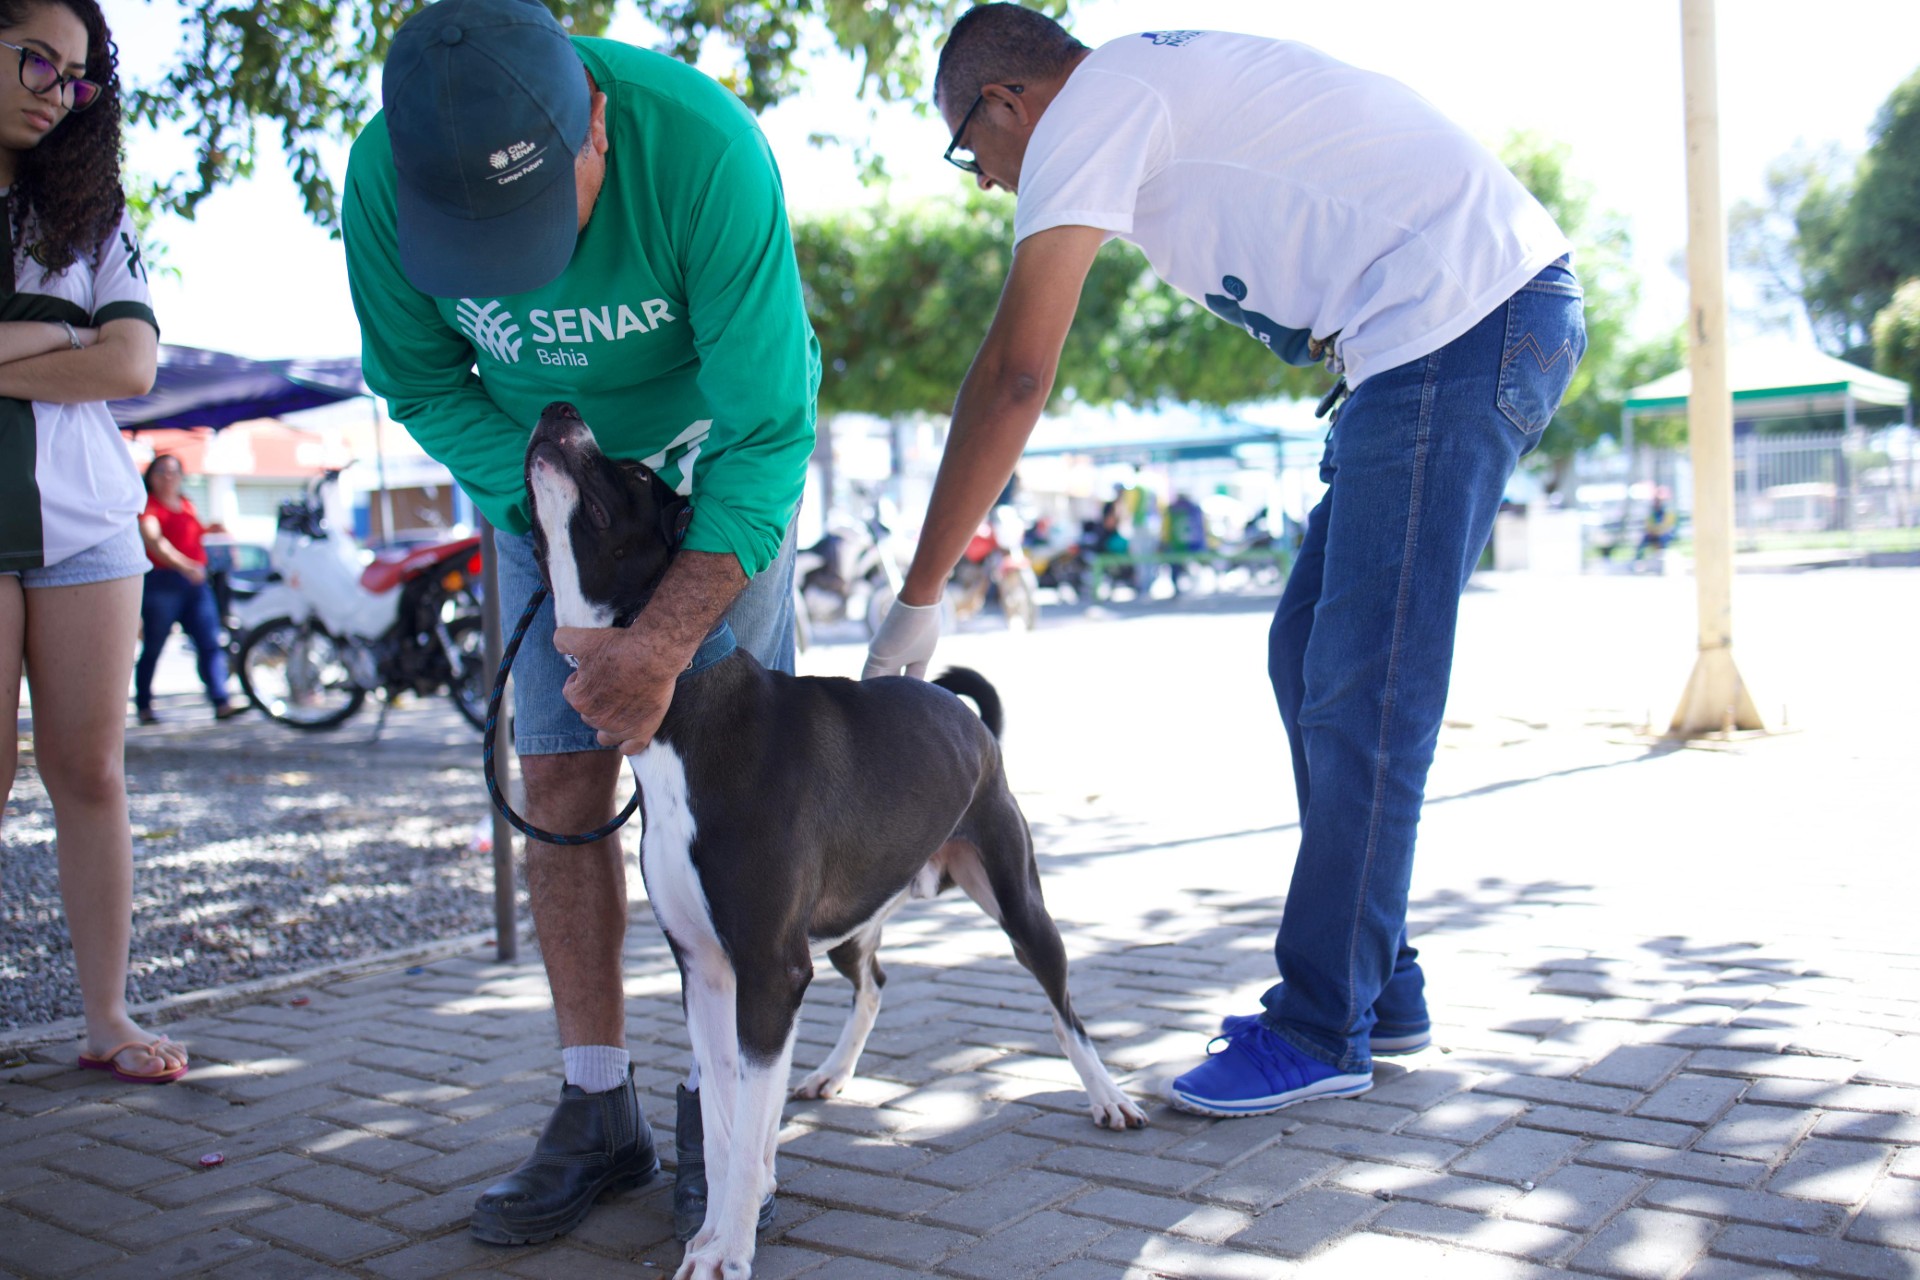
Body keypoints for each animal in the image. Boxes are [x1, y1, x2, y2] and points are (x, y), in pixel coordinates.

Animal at [524, 401, 1147, 1279]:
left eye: (638, 474)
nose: (558, 410)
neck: (687, 712)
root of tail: (967, 718)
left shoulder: (769, 971)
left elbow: (747, 1120)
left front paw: (729, 1245)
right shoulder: (707, 973)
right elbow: (724, 1124)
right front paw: (717, 1226)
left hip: (1018, 898)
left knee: (1064, 1008)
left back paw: (1107, 1095)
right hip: (853, 920)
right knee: (874, 980)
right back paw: (830, 1073)